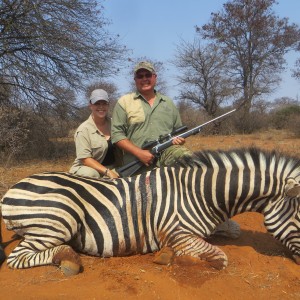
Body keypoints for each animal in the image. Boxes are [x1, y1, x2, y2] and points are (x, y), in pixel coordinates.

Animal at [0, 148, 298, 276]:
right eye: (298, 216)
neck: (201, 194)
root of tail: (12, 188)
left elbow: (231, 232)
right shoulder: (176, 232)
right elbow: (218, 258)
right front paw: (169, 257)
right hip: (60, 217)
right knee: (18, 257)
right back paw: (67, 258)